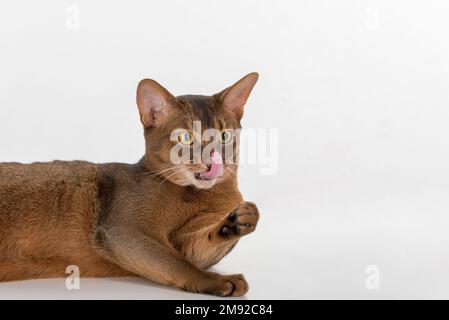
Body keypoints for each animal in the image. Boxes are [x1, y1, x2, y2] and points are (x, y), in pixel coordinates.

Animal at [0, 72, 260, 298]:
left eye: (225, 136)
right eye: (185, 137)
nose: (212, 160)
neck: (199, 195)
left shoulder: (187, 245)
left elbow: (196, 248)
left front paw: (239, 220)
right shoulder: (121, 230)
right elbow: (177, 263)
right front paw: (218, 281)